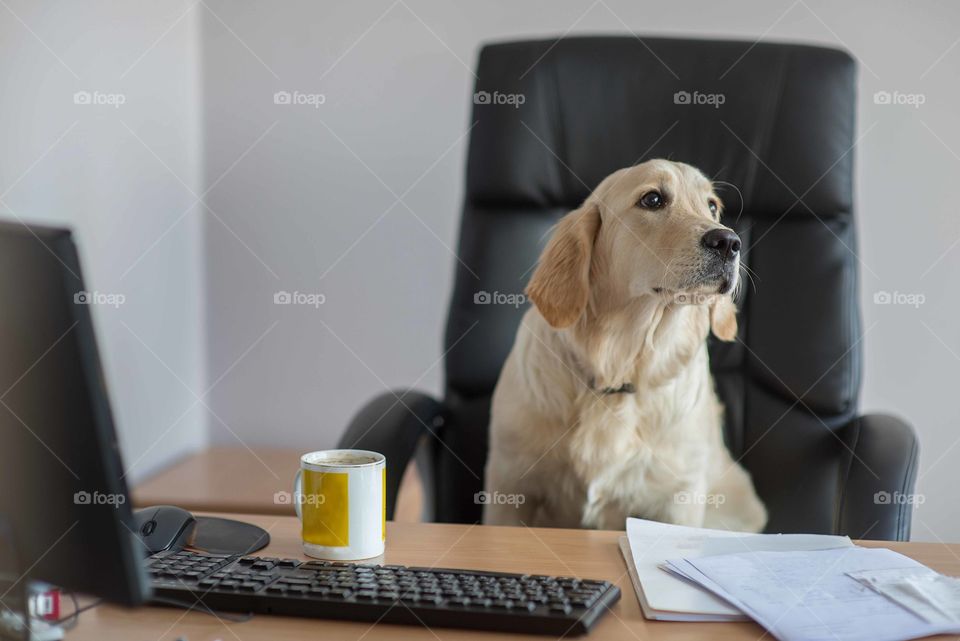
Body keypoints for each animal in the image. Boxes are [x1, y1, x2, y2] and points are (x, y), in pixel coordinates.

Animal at [484, 159, 768, 528]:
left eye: (712, 206)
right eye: (652, 199)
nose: (729, 242)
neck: (619, 370)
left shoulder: (679, 497)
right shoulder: (509, 488)